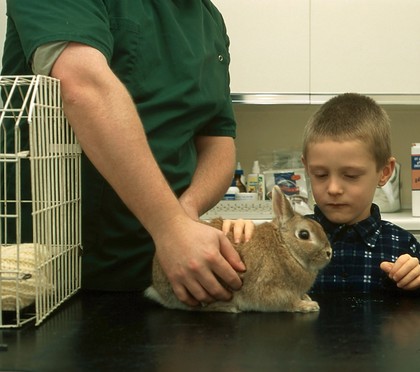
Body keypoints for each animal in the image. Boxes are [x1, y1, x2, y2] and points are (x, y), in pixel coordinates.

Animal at [144, 185, 332, 312]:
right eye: (304, 235)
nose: (329, 253)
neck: (285, 247)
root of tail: (157, 287)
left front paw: (306, 297)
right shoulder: (272, 290)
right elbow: (288, 303)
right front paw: (308, 305)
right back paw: (228, 307)